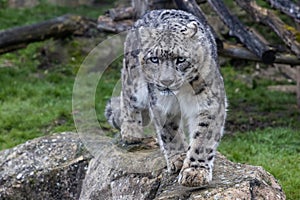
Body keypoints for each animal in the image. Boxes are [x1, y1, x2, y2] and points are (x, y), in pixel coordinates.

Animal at [104, 9, 226, 188]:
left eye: (180, 59)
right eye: (154, 59)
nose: (166, 81)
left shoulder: (210, 104)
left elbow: (203, 140)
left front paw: (195, 171)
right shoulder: (161, 106)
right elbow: (169, 132)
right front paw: (178, 158)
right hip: (135, 85)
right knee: (126, 96)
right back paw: (131, 132)